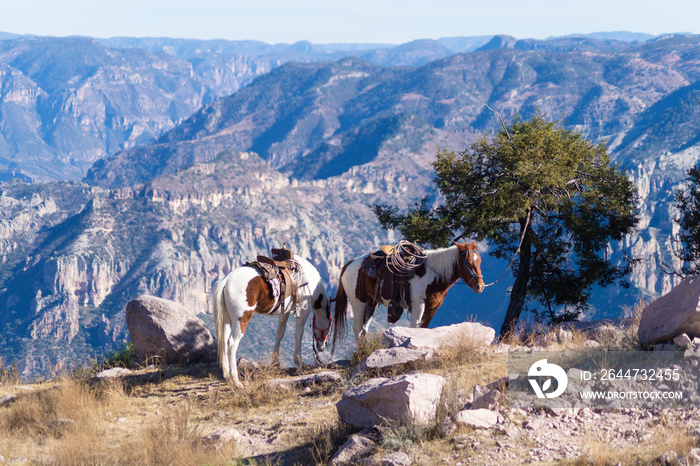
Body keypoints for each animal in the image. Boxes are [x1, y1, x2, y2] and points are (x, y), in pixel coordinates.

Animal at [212, 249, 332, 388]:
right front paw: (299, 362)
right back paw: (236, 380)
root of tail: (226, 281)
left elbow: (279, 333)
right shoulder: (303, 310)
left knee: (224, 341)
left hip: (227, 319)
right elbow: (299, 335)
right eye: (330, 327)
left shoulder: (285, 311)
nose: (322, 347)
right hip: (241, 319)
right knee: (232, 343)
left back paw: (226, 374)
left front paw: (275, 362)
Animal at [330, 240, 484, 346]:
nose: (480, 286)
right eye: (468, 262)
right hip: (358, 303)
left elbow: (423, 327)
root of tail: (347, 265)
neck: (431, 274)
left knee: (364, 329)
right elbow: (414, 327)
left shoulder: (433, 307)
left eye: (480, 261)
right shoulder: (418, 304)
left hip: (371, 303)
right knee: (357, 328)